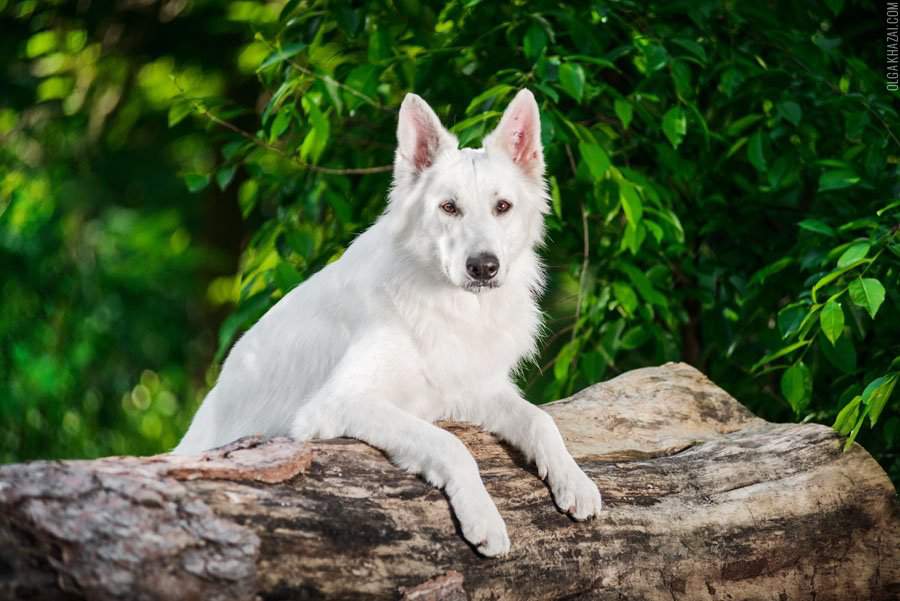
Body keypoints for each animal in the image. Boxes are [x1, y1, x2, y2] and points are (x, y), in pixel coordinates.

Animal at [172, 90, 600, 556]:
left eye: (502, 207)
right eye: (449, 207)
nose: (484, 268)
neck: (446, 303)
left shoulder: (474, 389)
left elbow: (541, 421)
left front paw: (574, 480)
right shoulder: (341, 403)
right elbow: (451, 445)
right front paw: (483, 517)